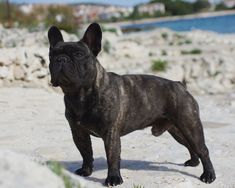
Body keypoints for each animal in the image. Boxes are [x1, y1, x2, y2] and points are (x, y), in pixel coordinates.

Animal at [47, 22, 215, 186]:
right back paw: (193, 162)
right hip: (177, 130)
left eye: (78, 54)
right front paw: (86, 171)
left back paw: (208, 175)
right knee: (189, 145)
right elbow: (86, 153)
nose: (61, 59)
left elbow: (112, 156)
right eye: (51, 55)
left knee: (202, 149)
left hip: (190, 125)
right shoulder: (78, 132)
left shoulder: (111, 133)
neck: (80, 94)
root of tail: (180, 85)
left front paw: (113, 178)